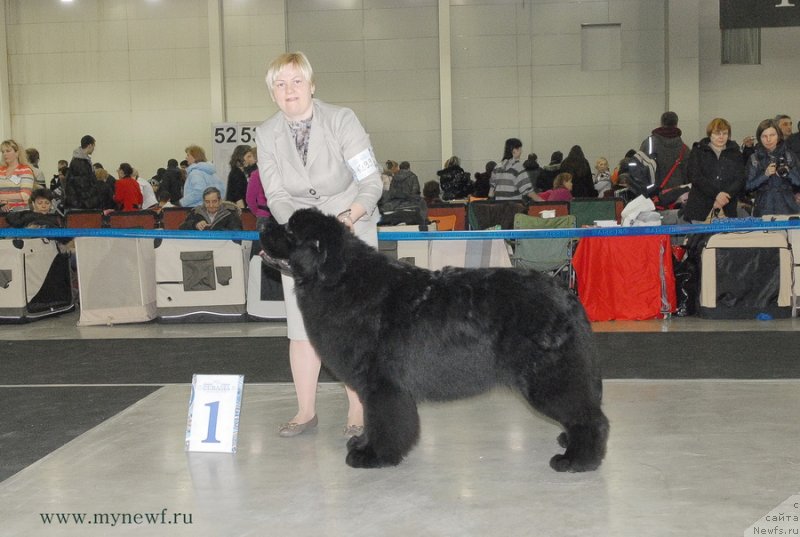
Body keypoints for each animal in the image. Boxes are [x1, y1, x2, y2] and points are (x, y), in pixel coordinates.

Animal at [260, 207, 608, 472]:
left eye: (290, 230)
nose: (263, 224)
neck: (340, 279)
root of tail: (566, 294)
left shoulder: (382, 384)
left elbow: (383, 421)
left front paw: (373, 455)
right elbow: (374, 421)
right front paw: (363, 443)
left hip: (549, 376)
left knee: (590, 417)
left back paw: (577, 459)